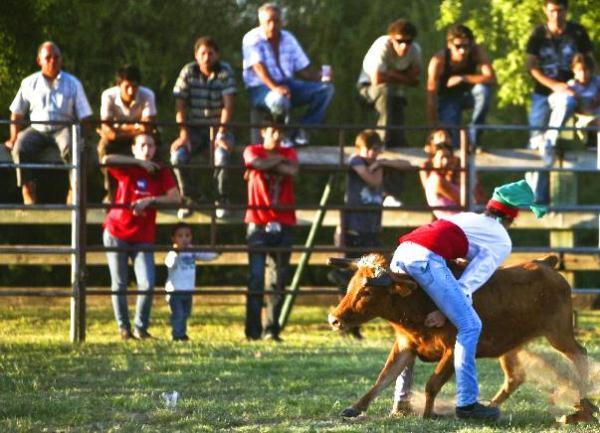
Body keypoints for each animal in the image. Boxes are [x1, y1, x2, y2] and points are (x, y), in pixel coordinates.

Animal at [328, 253, 600, 422]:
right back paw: (490, 407)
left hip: (559, 333)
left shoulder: (452, 348)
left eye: (366, 291)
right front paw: (355, 408)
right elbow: (384, 378)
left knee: (580, 355)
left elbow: (432, 383)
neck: (420, 300)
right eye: (351, 285)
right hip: (511, 345)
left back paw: (584, 404)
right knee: (514, 377)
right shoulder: (405, 346)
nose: (334, 319)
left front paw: (428, 414)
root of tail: (546, 264)